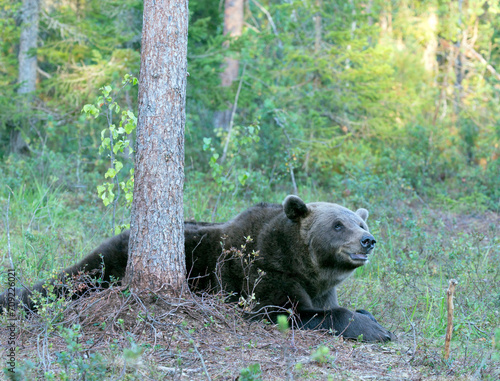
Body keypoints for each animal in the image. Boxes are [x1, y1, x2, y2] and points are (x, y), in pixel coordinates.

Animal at [0, 196, 394, 342]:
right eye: (338, 225)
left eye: (359, 222)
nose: (368, 240)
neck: (305, 266)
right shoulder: (263, 273)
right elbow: (285, 310)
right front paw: (375, 328)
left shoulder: (320, 286)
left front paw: (368, 316)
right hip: (113, 260)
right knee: (76, 277)